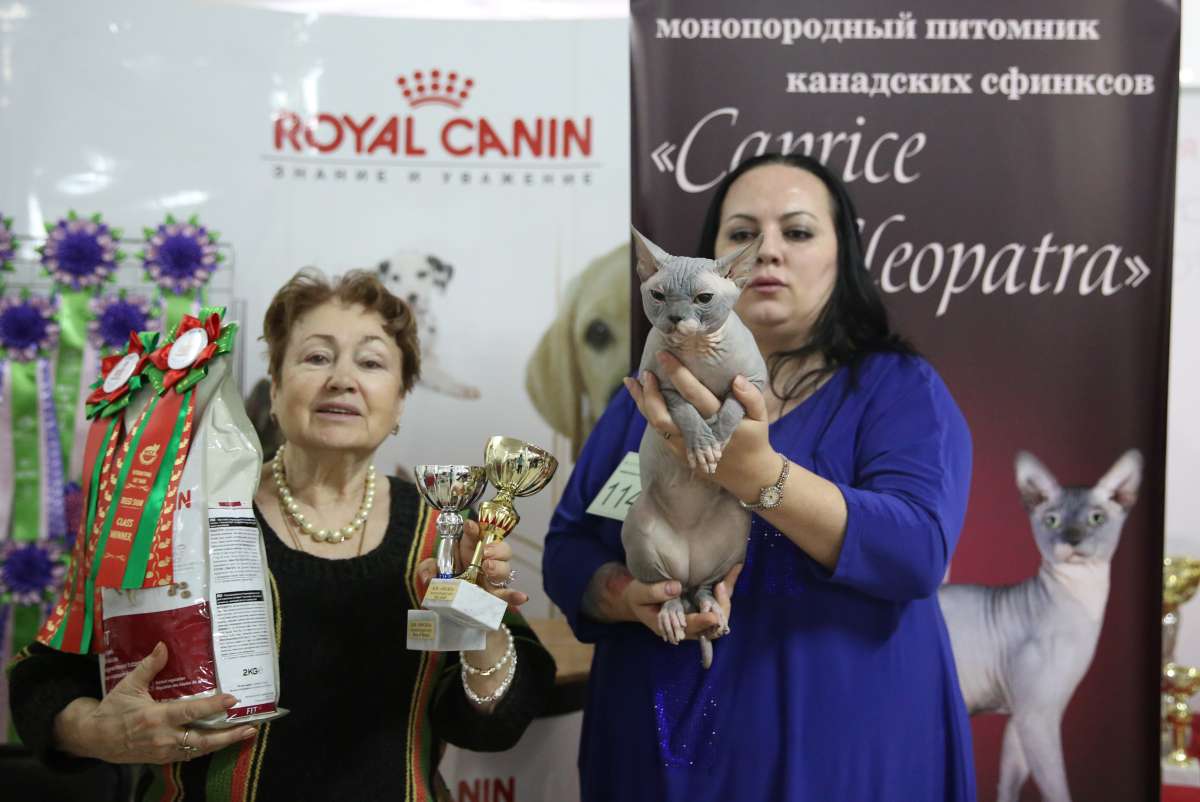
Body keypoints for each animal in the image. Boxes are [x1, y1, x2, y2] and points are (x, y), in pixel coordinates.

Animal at [621, 227, 769, 668]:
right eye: (658, 295)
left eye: (703, 299)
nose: (674, 319)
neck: (699, 353)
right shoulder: (661, 386)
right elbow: (686, 411)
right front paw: (703, 444)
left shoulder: (753, 384)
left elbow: (733, 407)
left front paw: (717, 440)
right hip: (640, 528)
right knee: (667, 588)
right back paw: (673, 613)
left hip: (735, 531)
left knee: (704, 587)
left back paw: (713, 609)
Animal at [938, 449, 1143, 802]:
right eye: (1052, 520)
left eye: (1096, 518)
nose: (1072, 539)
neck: (1081, 604)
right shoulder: (1036, 715)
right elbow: (1058, 789)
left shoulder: (1028, 716)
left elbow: (1008, 787)